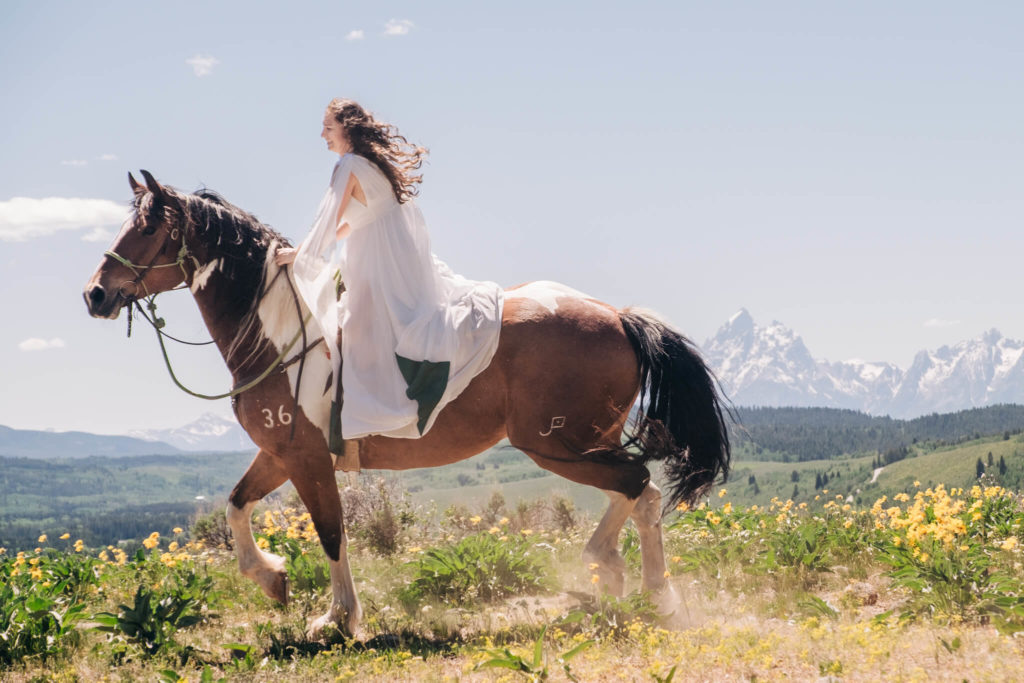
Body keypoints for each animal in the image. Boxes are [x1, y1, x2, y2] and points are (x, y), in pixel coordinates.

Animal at [86, 171, 729, 634]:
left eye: (148, 230)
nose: (95, 294)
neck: (283, 334)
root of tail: (617, 315)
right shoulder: (280, 454)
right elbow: (236, 506)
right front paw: (273, 579)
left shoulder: (307, 460)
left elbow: (330, 533)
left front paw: (337, 619)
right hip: (580, 442)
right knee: (635, 490)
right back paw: (613, 574)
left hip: (558, 445)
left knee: (639, 484)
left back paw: (651, 592)